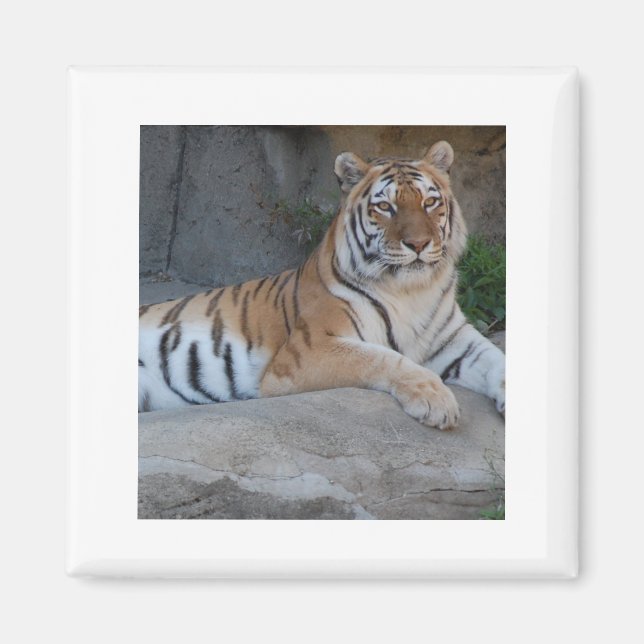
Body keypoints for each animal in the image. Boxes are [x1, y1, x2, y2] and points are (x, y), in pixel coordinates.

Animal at [138, 141, 505, 430]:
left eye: (429, 202)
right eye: (385, 206)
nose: (417, 243)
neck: (411, 291)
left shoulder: (455, 340)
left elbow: (498, 359)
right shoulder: (310, 349)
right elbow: (384, 359)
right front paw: (437, 402)